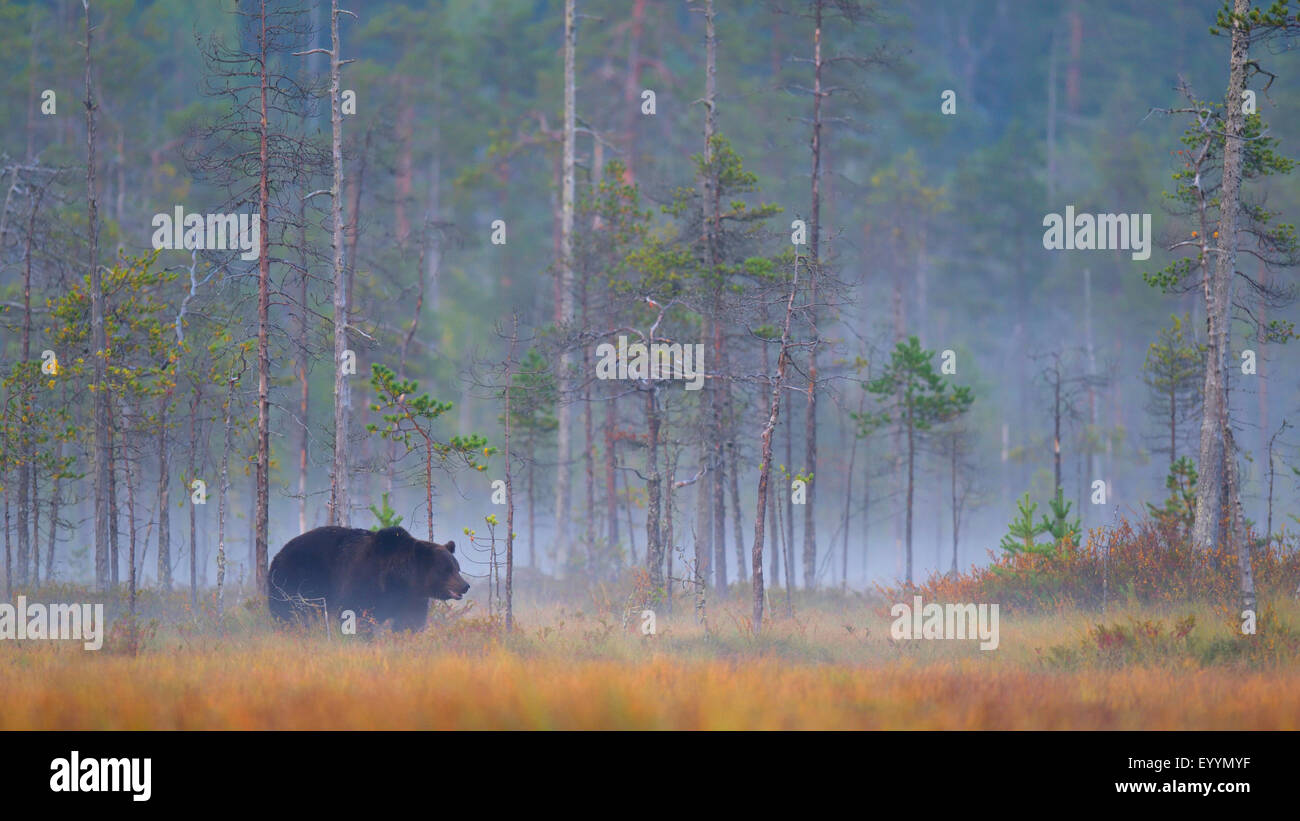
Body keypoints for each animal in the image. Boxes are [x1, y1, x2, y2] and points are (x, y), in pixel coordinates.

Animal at [266, 522, 470, 631]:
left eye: (457, 568)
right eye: (446, 569)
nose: (465, 585)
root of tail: (278, 554)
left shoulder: (411, 599)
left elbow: (408, 623)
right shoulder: (362, 584)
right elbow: (355, 615)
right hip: (295, 582)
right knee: (288, 613)